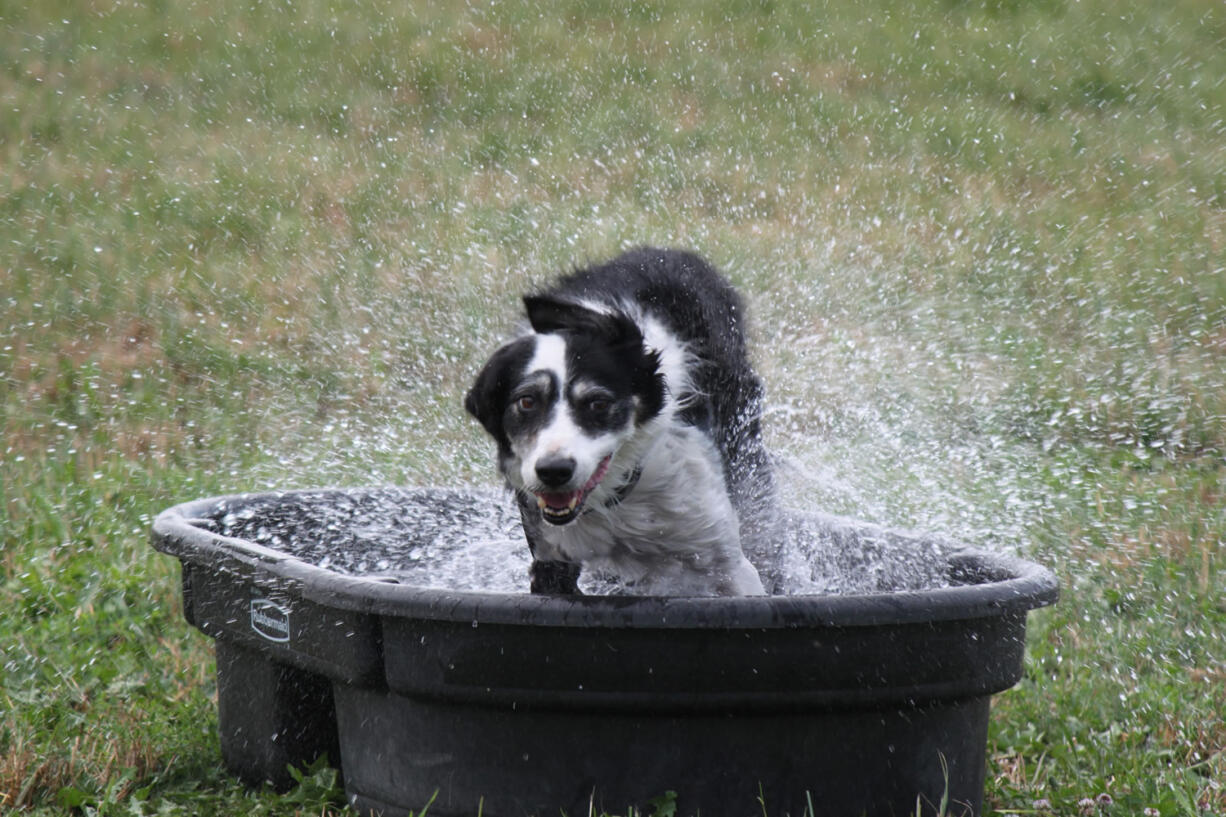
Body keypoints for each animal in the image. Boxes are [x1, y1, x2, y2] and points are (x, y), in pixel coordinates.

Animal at [463, 245, 779, 596]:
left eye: (599, 403)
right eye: (527, 401)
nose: (553, 471)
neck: (615, 495)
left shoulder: (726, 561)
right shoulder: (550, 554)